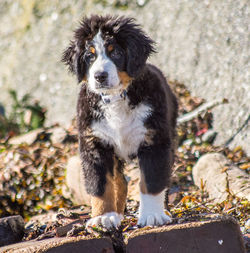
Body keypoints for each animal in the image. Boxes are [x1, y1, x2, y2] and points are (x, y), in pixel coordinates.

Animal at [62, 14, 178, 230]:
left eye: (115, 52)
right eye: (89, 56)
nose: (100, 76)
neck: (116, 98)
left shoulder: (153, 140)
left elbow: (152, 180)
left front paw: (152, 215)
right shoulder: (95, 144)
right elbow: (101, 185)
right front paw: (103, 216)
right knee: (120, 180)